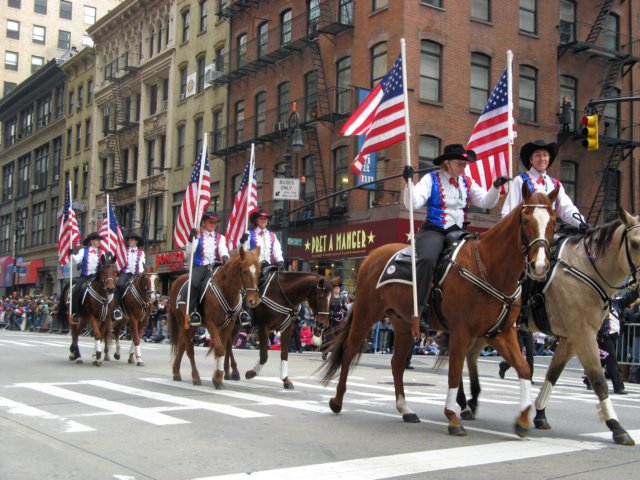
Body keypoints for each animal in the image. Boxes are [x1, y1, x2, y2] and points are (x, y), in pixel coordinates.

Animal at [169, 248, 264, 390]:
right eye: (245, 271)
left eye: (258, 271)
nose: (254, 300)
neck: (226, 289)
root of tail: (176, 281)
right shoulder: (211, 323)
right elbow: (219, 348)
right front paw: (219, 377)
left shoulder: (230, 324)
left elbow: (224, 347)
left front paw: (219, 377)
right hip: (184, 322)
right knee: (189, 349)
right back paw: (195, 377)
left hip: (192, 326)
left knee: (182, 345)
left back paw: (176, 372)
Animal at [320, 185, 560, 438]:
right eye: (525, 219)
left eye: (553, 221)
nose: (540, 266)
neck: (488, 268)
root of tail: (371, 257)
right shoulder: (461, 331)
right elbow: (454, 372)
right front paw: (453, 417)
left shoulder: (500, 333)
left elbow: (523, 368)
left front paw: (523, 419)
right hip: (367, 314)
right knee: (349, 351)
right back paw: (337, 400)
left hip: (403, 324)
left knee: (396, 363)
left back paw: (405, 409)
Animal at [458, 206, 636, 446]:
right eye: (635, 243)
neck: (585, 269)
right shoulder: (583, 335)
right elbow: (598, 380)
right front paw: (616, 427)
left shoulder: (571, 338)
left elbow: (553, 374)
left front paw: (540, 415)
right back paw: (464, 402)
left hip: (489, 328)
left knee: (470, 354)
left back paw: (472, 400)